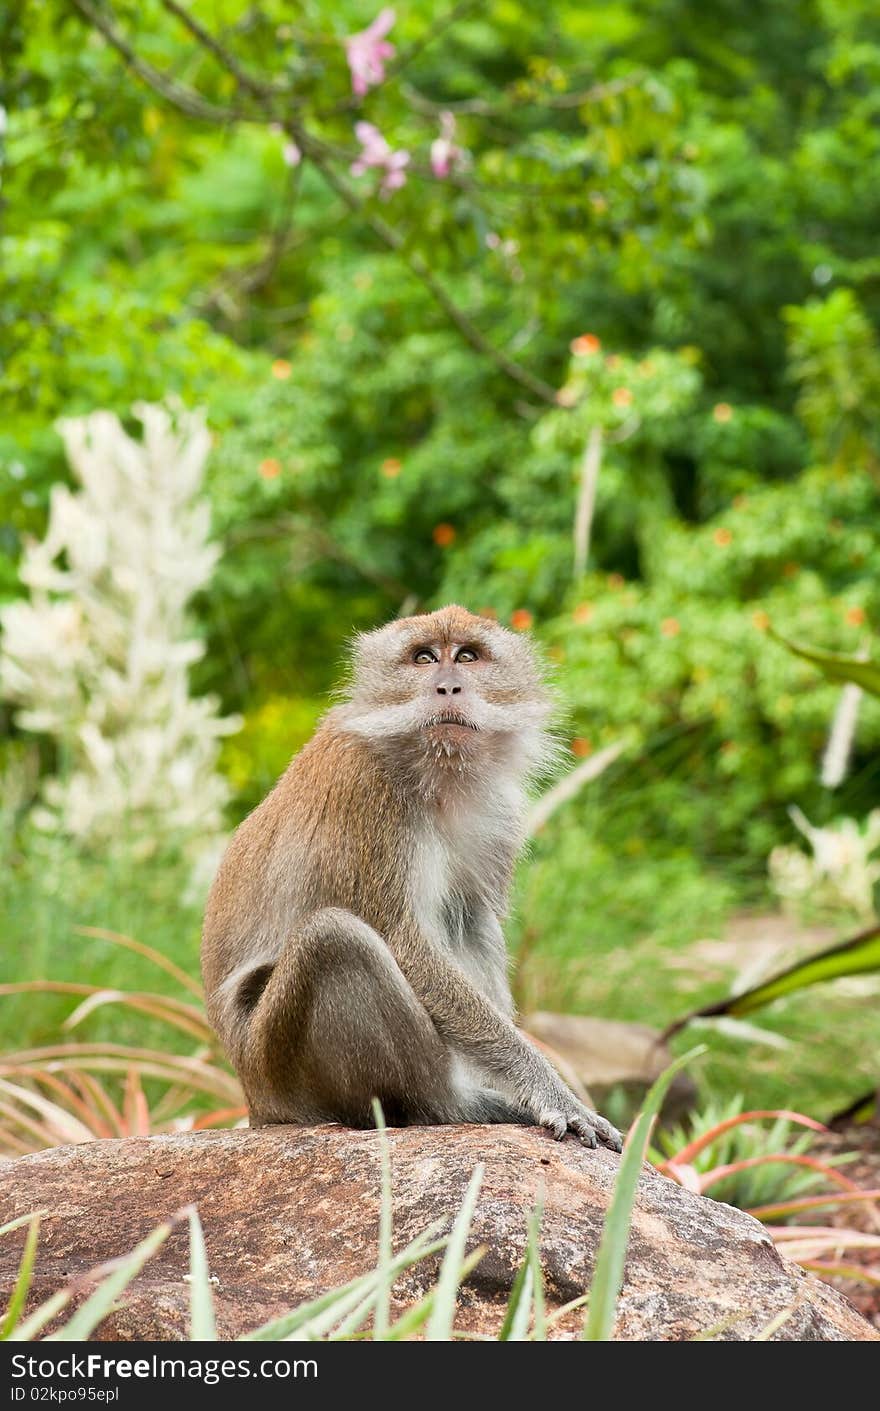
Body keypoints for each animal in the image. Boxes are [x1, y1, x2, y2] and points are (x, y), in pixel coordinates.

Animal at [203, 601, 623, 1151]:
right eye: (423, 658)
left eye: (466, 656)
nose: (448, 687)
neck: (433, 774)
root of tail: (255, 1101)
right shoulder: (366, 791)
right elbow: (404, 943)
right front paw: (551, 1091)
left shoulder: (497, 815)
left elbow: (472, 919)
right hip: (280, 1066)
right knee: (335, 940)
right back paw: (448, 1105)